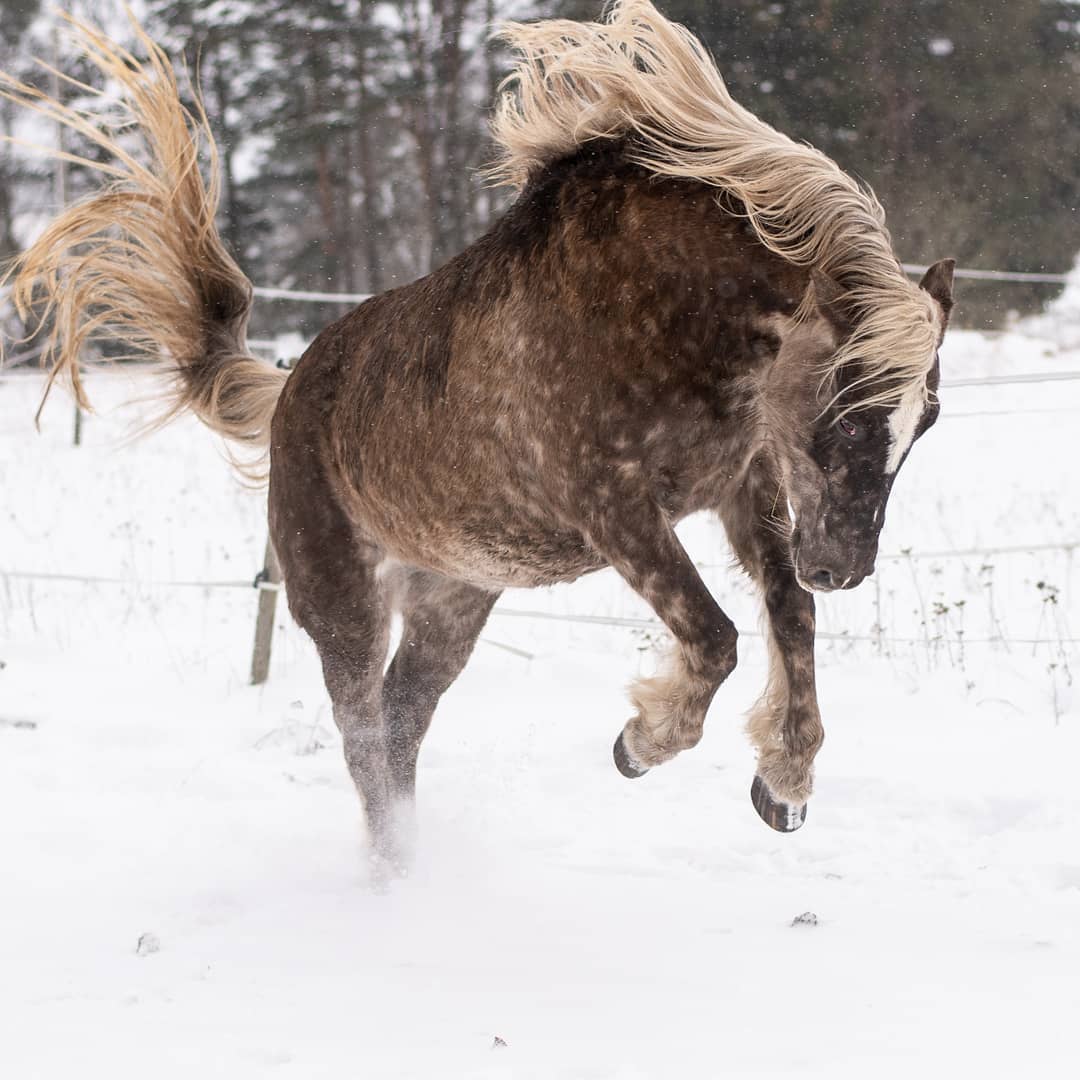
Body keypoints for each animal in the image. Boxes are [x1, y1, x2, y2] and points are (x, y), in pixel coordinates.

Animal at [2, 1, 953, 875]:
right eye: (848, 408)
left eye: (928, 419)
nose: (844, 567)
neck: (662, 311)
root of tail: (287, 395)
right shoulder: (614, 507)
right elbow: (716, 636)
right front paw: (641, 742)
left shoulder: (743, 493)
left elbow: (789, 617)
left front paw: (783, 785)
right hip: (339, 601)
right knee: (362, 730)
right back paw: (391, 877)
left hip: (453, 600)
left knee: (402, 719)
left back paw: (404, 864)